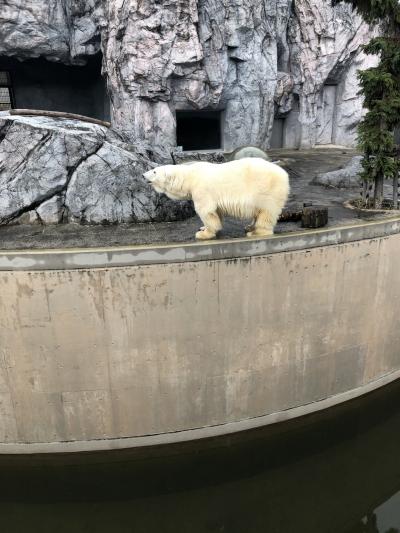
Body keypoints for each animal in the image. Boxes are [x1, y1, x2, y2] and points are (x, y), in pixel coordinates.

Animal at [142, 157, 290, 240]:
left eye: (154, 171)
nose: (143, 175)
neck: (190, 176)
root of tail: (284, 174)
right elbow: (216, 212)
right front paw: (203, 228)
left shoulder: (202, 190)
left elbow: (206, 210)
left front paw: (204, 234)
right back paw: (249, 226)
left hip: (266, 190)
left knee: (266, 213)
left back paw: (256, 233)